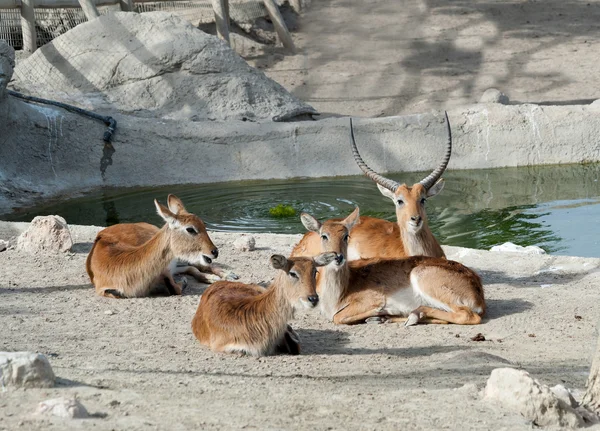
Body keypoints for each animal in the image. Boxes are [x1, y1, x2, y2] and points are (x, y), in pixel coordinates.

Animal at [85, 195, 223, 298]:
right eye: (190, 229)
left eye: (204, 225)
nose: (214, 251)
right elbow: (176, 286)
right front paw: (184, 281)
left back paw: (224, 275)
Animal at [298, 208, 486, 326]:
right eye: (324, 235)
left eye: (346, 235)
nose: (338, 256)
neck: (338, 294)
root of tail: (479, 296)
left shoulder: (371, 298)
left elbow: (338, 317)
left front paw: (380, 312)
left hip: (424, 277)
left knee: (467, 315)